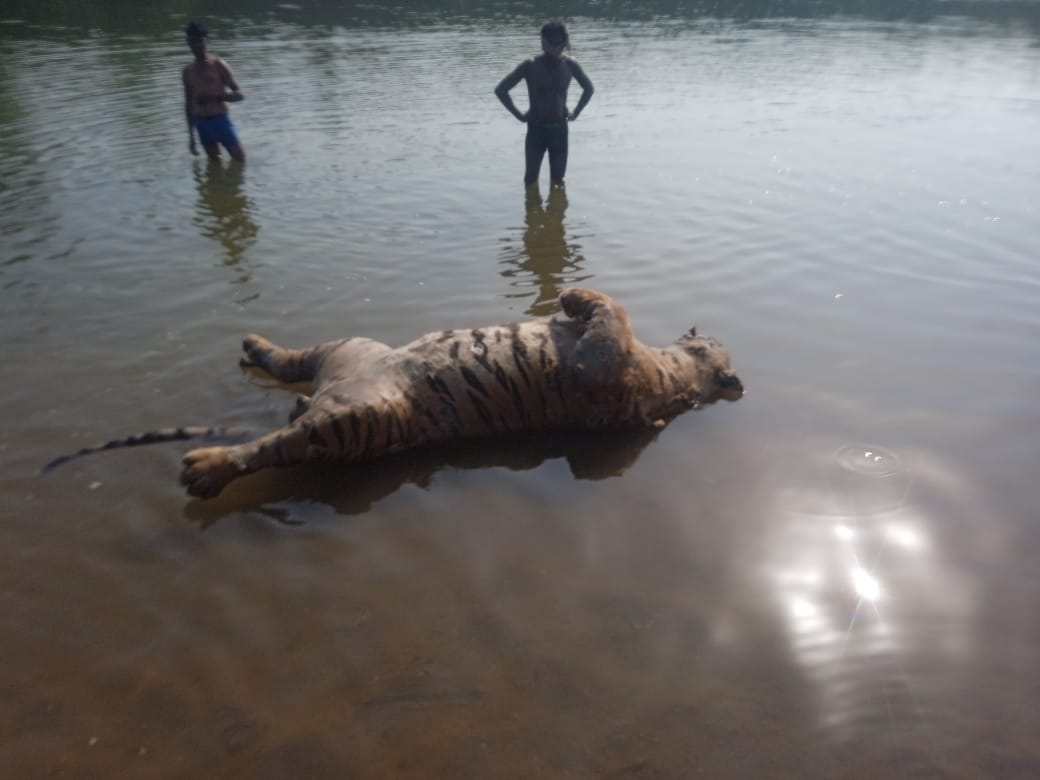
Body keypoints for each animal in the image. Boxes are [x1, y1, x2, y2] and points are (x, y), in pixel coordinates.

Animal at [44, 289, 744, 501]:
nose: (698, 328)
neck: (675, 381)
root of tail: (322, 392)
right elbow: (609, 306)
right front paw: (563, 302)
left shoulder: (609, 357)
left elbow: (611, 307)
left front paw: (572, 295)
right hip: (344, 348)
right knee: (287, 362)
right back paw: (253, 342)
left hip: (354, 419)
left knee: (266, 446)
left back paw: (205, 469)